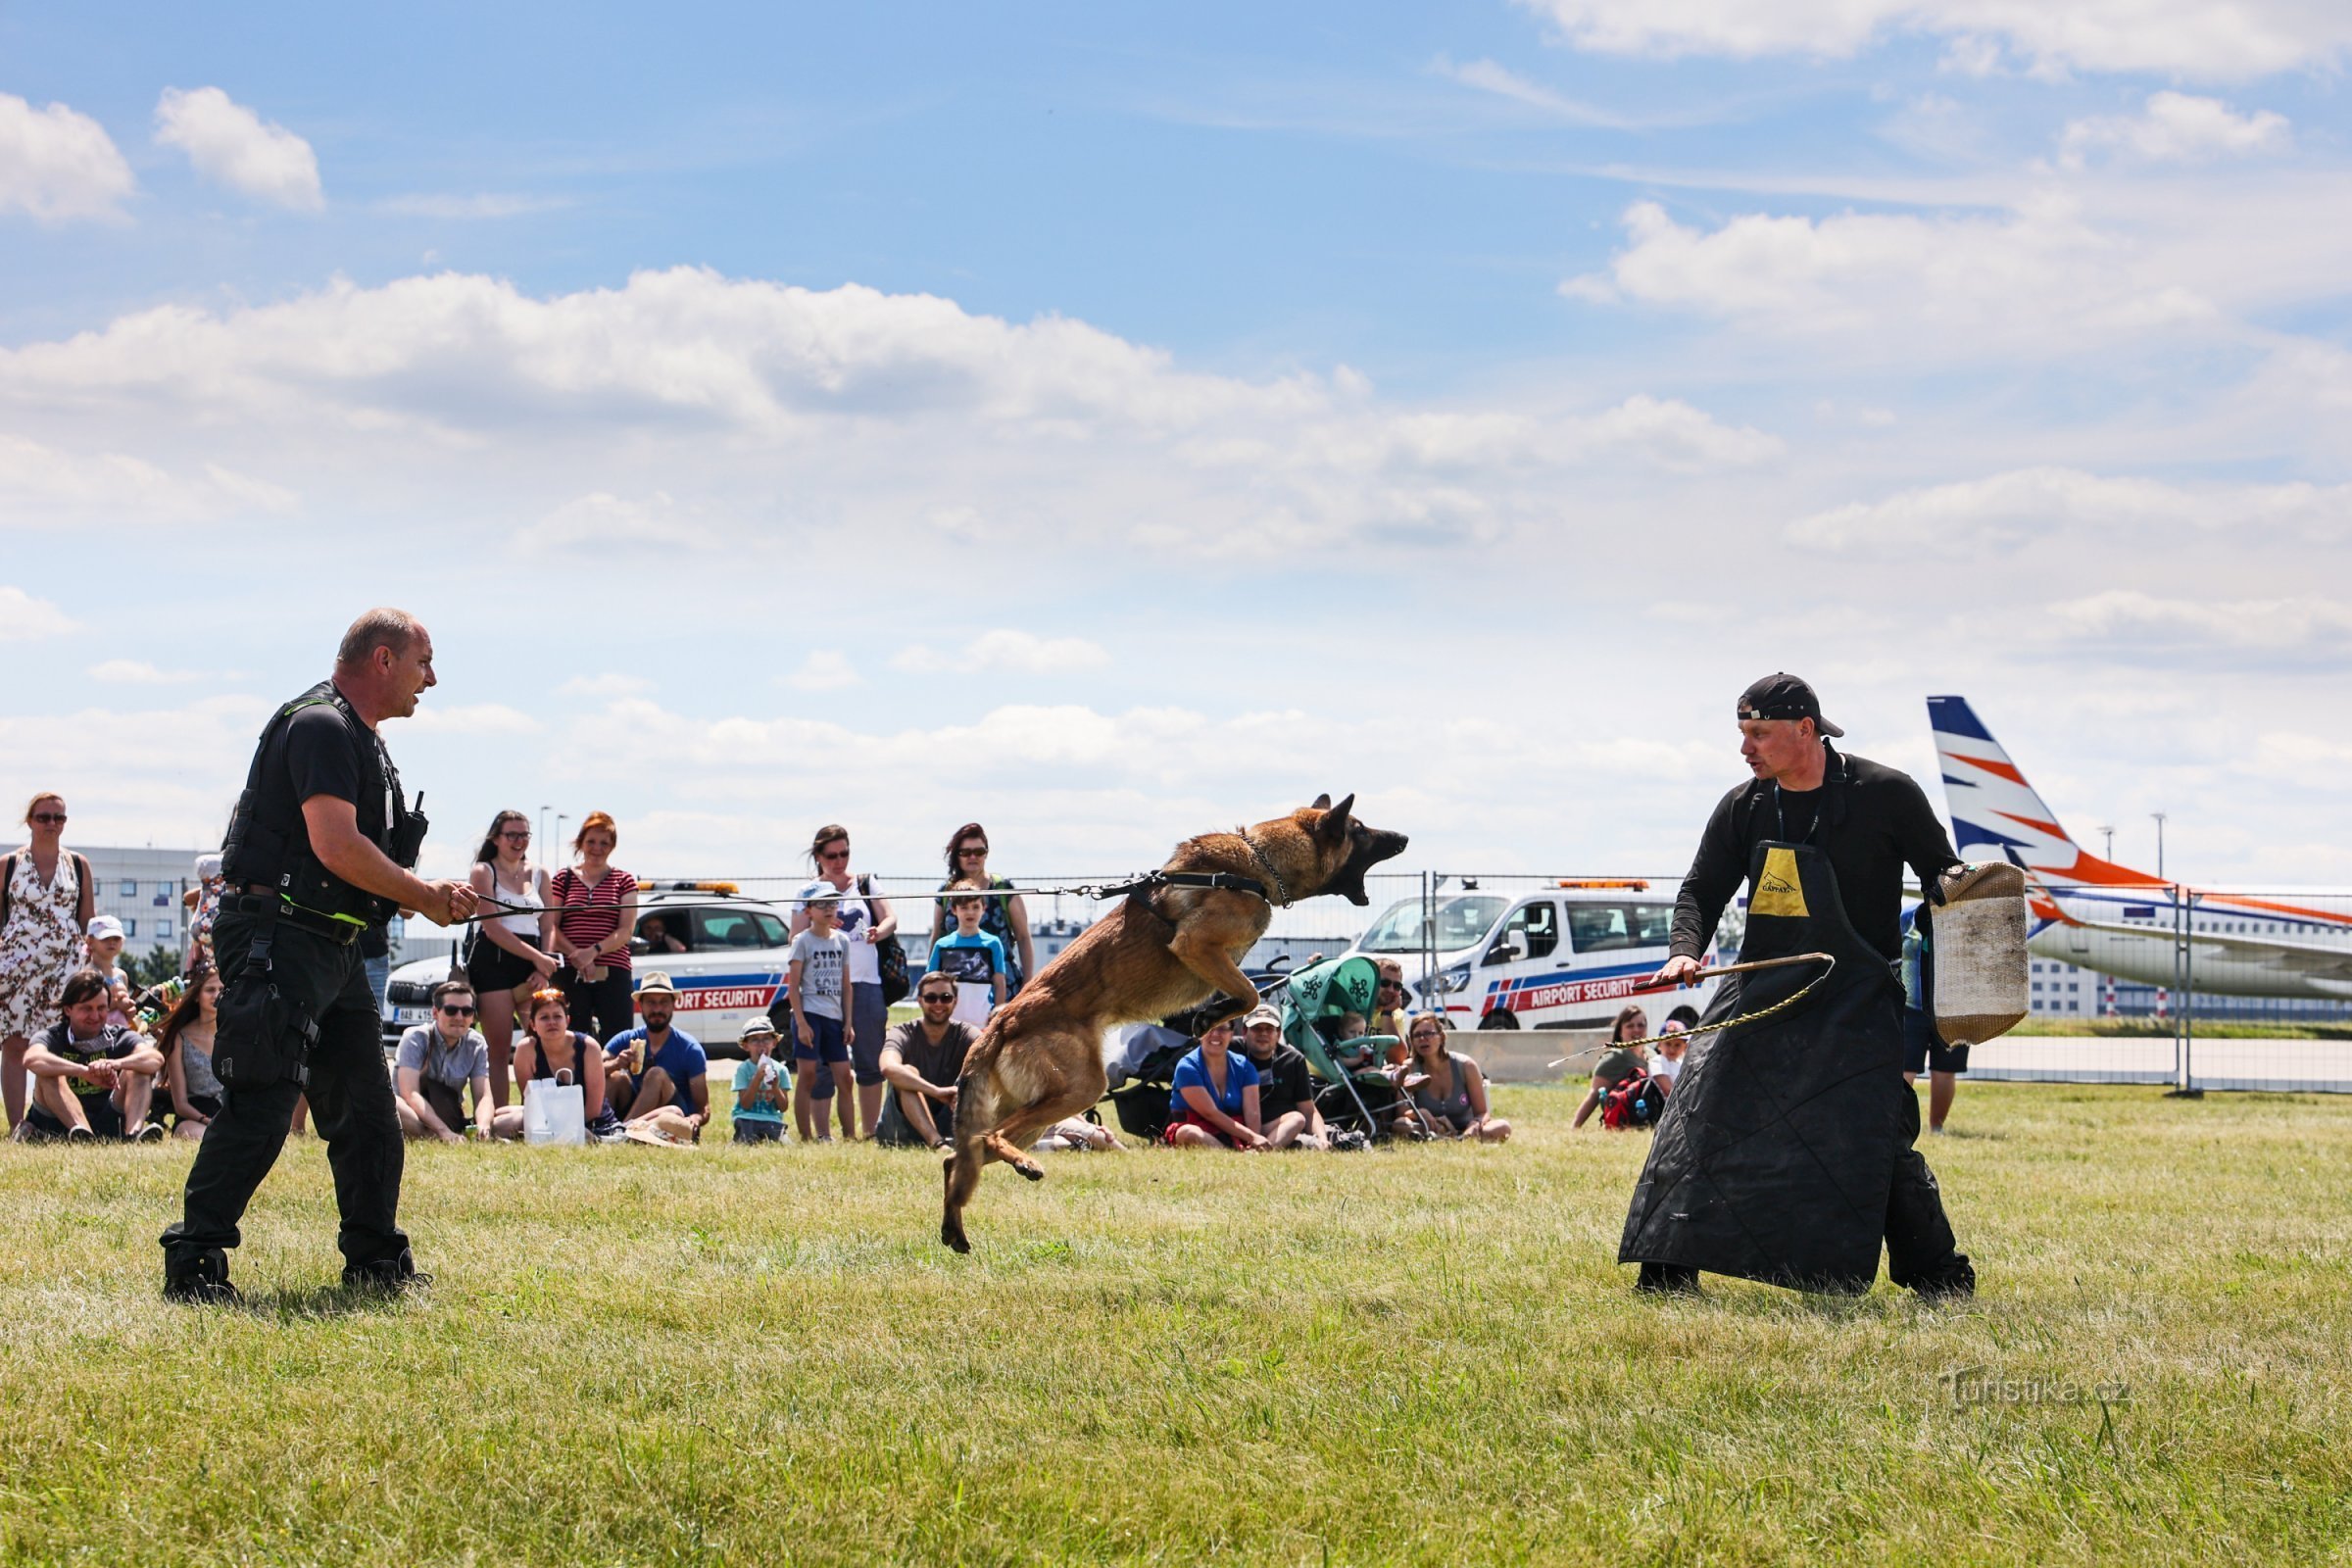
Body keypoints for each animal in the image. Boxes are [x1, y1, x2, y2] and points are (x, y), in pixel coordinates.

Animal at [941, 789, 1411, 1259]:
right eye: (1360, 829)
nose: (1404, 837)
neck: (1258, 863)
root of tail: (996, 1027)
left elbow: (1245, 993)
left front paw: (1210, 1014)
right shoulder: (1197, 946)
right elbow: (1251, 993)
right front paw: (1211, 1016)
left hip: (1039, 1109)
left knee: (956, 1157)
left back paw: (955, 1233)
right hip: (1077, 1090)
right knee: (987, 1139)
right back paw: (1022, 1166)